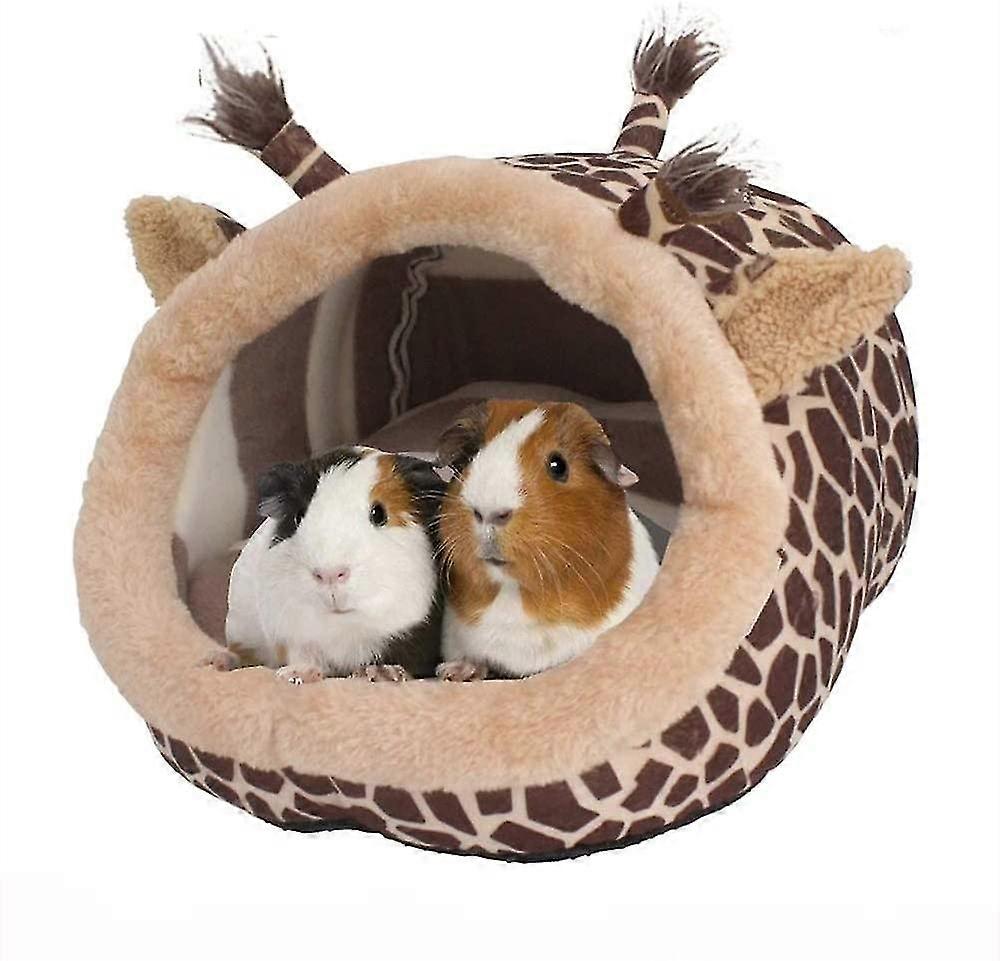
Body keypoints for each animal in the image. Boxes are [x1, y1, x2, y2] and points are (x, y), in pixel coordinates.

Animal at [205, 446, 445, 684]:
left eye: (379, 514)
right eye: (298, 517)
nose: (329, 574)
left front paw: (381, 673)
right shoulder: (292, 635)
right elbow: (304, 656)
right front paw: (294, 675)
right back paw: (216, 660)